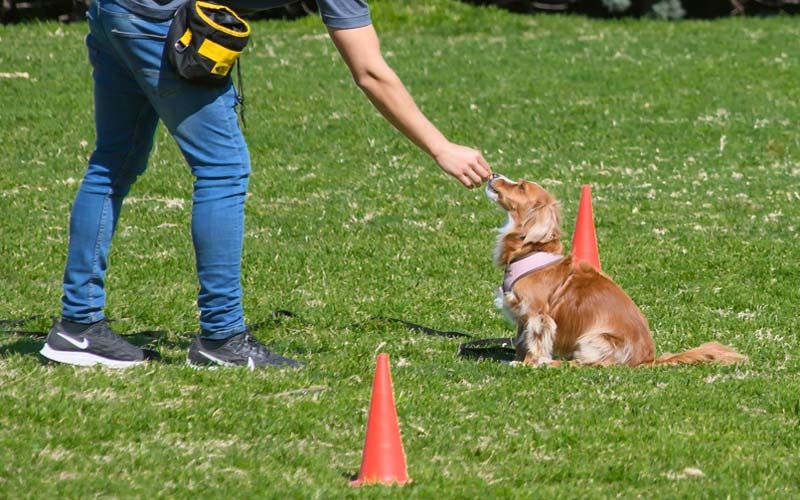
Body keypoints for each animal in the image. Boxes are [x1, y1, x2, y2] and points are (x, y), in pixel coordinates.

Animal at [484, 175, 748, 368]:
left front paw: (529, 363)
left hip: (593, 339)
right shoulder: (521, 314)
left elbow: (535, 342)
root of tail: (647, 359)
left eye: (520, 186)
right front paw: (518, 359)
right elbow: (522, 340)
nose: (493, 174)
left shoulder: (537, 314)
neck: (531, 249)